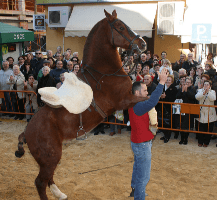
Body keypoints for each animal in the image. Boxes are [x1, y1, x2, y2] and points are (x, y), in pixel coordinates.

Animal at [16, 9, 147, 200]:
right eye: (120, 26)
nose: (142, 43)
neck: (104, 73)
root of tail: (26, 132)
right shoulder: (124, 99)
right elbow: (148, 99)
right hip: (51, 157)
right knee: (40, 182)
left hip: (49, 159)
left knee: (48, 178)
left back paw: (59, 193)